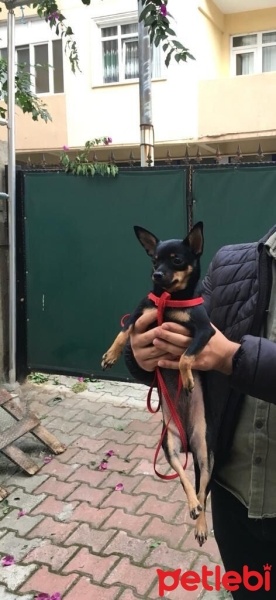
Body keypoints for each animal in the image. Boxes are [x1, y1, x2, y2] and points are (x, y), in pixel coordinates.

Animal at [101, 223, 216, 548]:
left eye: (176, 260)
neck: (170, 300)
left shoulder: (205, 332)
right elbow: (123, 332)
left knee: (203, 489)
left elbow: (186, 357)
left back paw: (200, 524)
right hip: (170, 447)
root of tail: (188, 442)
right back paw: (192, 506)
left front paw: (187, 379)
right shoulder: (141, 315)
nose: (157, 276)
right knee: (187, 482)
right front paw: (111, 355)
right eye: (154, 261)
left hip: (207, 454)